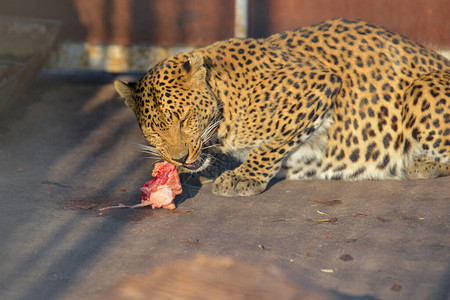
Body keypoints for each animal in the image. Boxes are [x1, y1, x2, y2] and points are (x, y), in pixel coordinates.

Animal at [115, 18, 450, 197]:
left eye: (185, 119)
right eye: (155, 132)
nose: (179, 158)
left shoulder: (317, 84)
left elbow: (273, 144)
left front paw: (244, 177)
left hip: (420, 89)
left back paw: (423, 163)